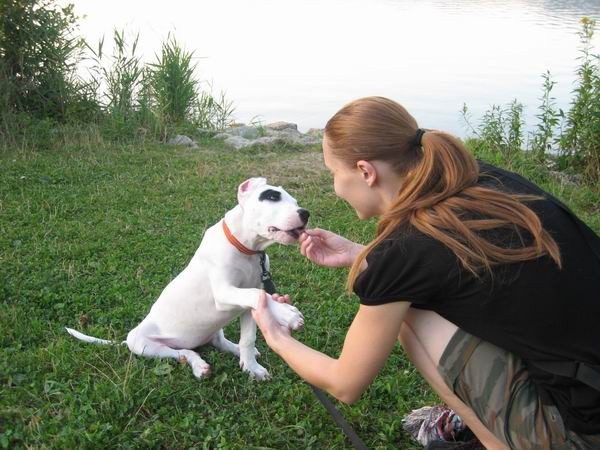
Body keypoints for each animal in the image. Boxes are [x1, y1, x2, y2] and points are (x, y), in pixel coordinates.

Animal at [68, 177, 308, 380]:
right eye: (271, 196)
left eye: (295, 201)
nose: (305, 213)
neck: (248, 250)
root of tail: (126, 339)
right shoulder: (224, 292)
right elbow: (258, 294)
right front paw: (287, 313)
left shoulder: (247, 303)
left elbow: (248, 336)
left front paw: (251, 368)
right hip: (143, 345)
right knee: (183, 353)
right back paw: (199, 365)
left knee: (218, 342)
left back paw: (233, 350)